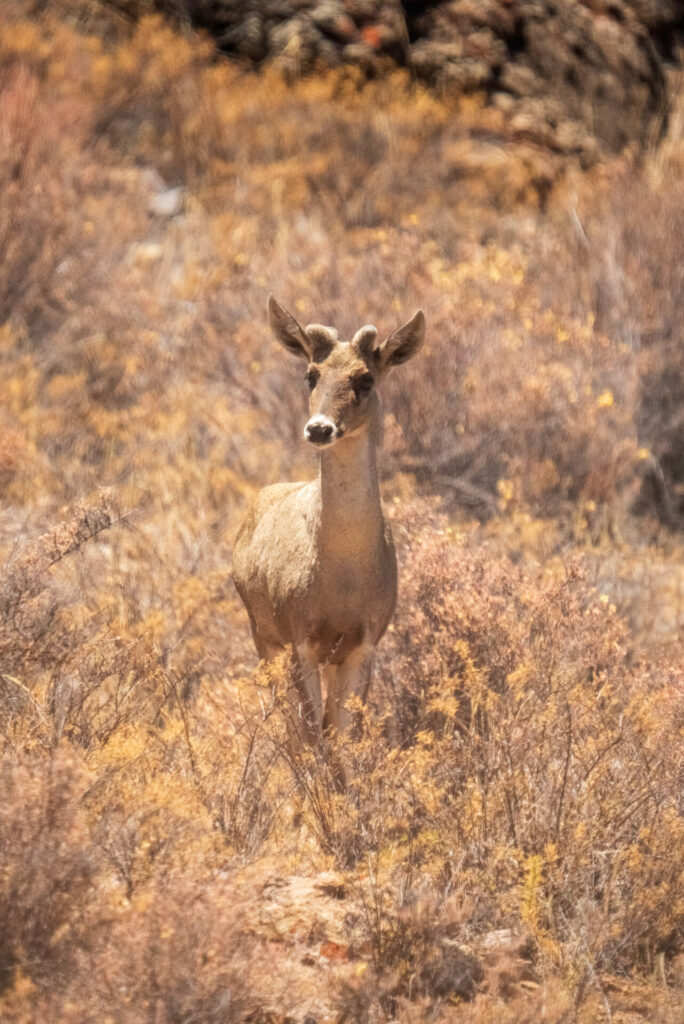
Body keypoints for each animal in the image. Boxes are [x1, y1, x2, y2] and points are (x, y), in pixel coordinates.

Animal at [235, 296, 423, 770]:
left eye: (365, 378)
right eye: (310, 374)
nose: (319, 428)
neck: (341, 579)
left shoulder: (363, 642)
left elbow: (342, 744)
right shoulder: (299, 638)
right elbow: (310, 741)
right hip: (263, 637)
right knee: (290, 735)